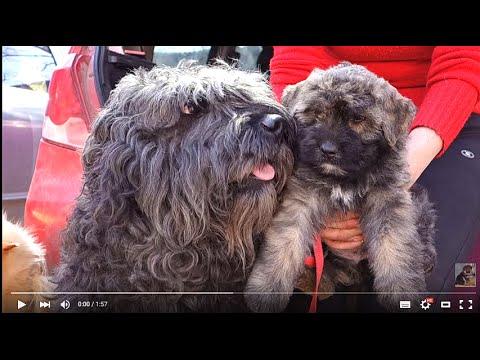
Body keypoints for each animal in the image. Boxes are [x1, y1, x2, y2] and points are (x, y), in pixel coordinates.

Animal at [246, 63, 436, 310]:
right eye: (316, 113)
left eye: (358, 119)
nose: (328, 149)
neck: (343, 179)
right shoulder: (300, 200)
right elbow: (284, 242)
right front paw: (264, 291)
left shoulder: (389, 202)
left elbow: (395, 248)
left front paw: (402, 293)